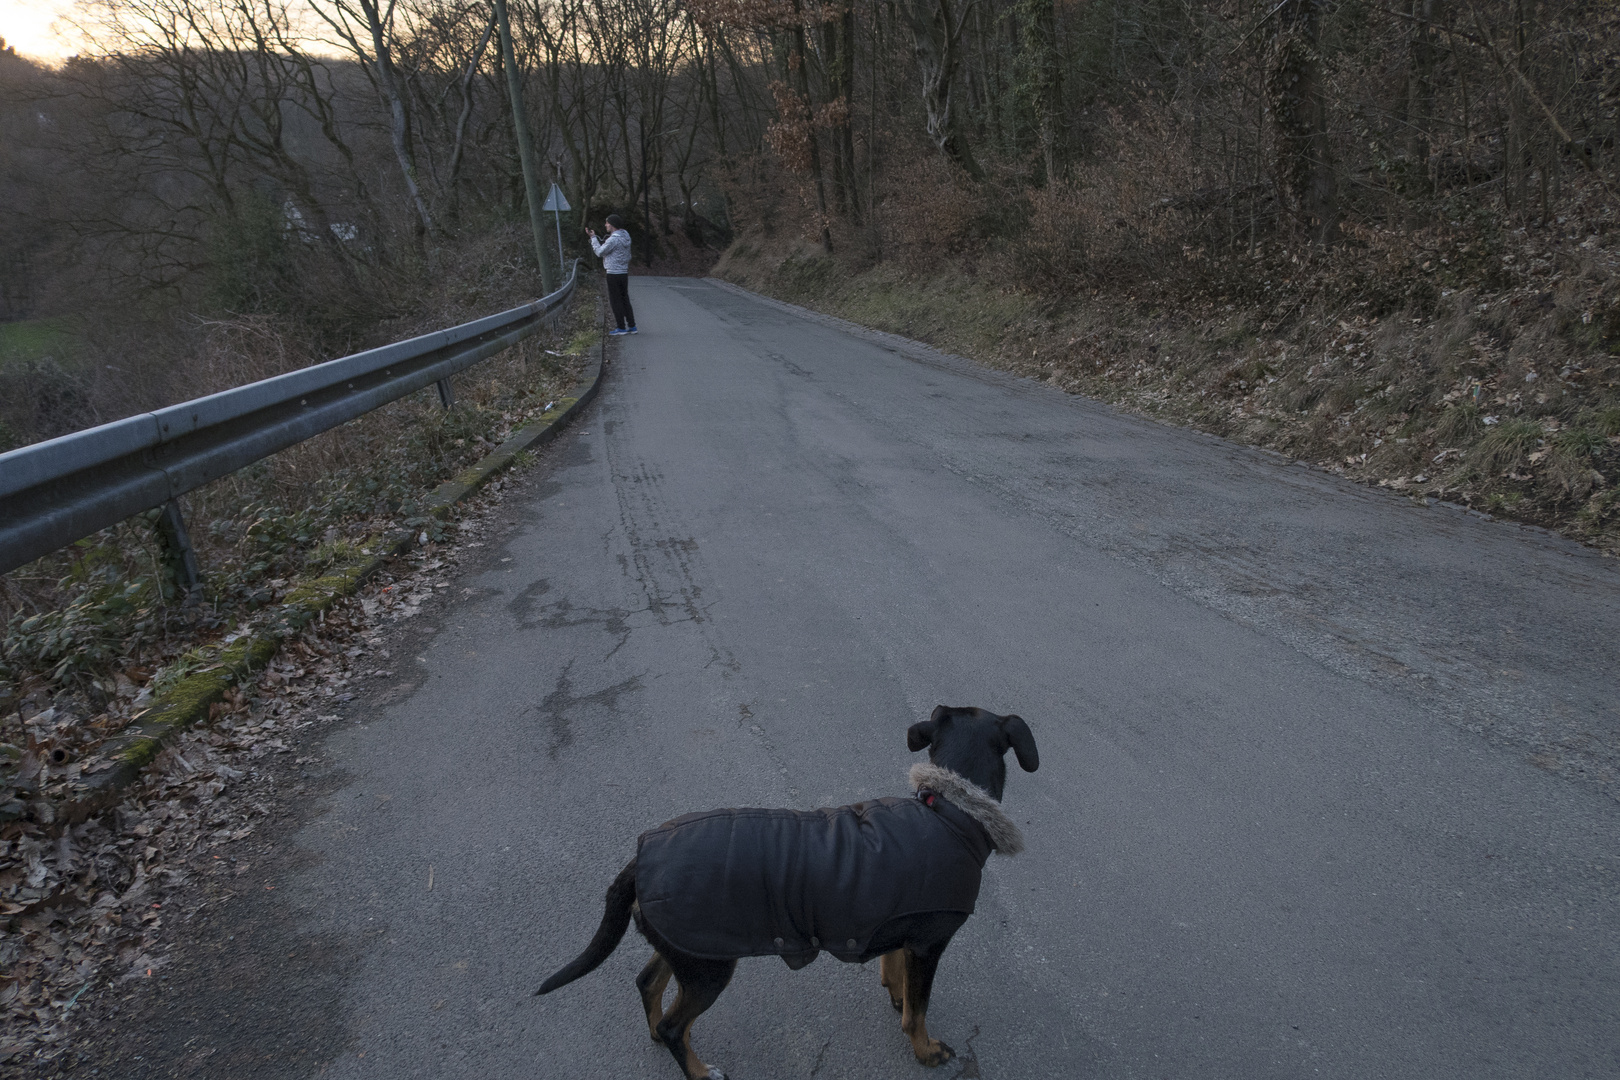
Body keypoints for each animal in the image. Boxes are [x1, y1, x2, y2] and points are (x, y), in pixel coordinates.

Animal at [534, 705, 1036, 1080]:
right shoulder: (930, 944)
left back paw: (662, 1035)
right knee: (677, 1025)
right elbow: (920, 1009)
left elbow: (896, 973)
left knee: (650, 986)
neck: (949, 812)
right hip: (709, 968)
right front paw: (926, 1050)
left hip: (689, 949)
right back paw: (698, 1070)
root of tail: (640, 858)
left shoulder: (900, 929)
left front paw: (896, 994)